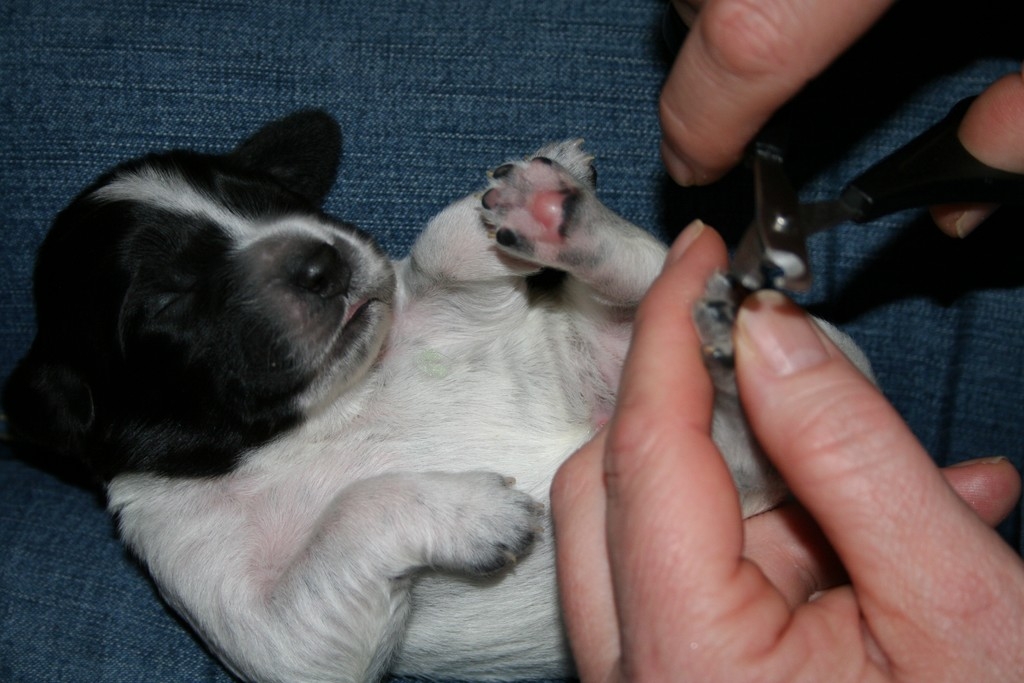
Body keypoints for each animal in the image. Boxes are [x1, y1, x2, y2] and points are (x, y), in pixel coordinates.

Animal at [4, 111, 871, 682]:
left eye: (270, 197)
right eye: (167, 299)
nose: (323, 259)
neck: (320, 417)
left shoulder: (449, 302)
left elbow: (437, 254)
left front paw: (506, 212)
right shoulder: (264, 626)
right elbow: (353, 514)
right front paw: (476, 510)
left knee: (656, 276)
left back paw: (561, 218)